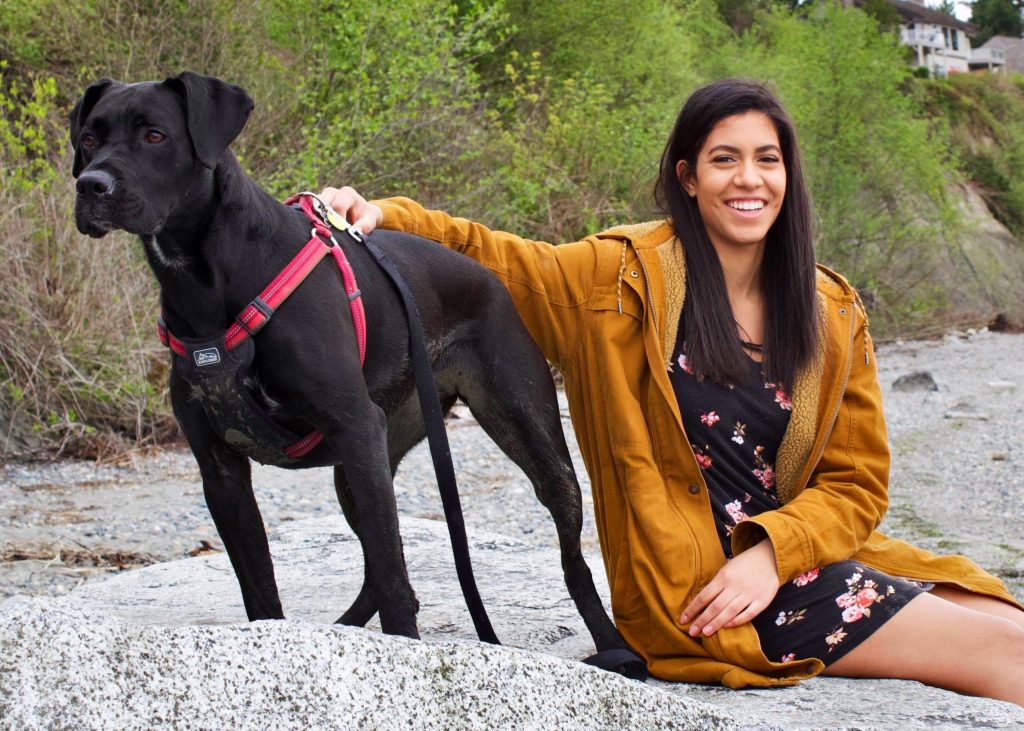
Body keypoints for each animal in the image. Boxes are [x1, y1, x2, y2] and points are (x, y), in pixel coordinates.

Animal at [68, 72, 643, 675]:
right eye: (88, 139)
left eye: (155, 135)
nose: (91, 185)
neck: (207, 278)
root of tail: (492, 277)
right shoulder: (221, 470)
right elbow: (262, 587)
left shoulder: (354, 427)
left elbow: (392, 574)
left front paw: (403, 654)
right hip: (362, 465)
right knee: (378, 561)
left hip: (532, 443)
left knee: (569, 556)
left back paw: (614, 648)